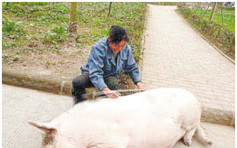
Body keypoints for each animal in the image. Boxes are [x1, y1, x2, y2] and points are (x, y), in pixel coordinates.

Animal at [29, 88, 213, 147]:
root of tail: (195, 98)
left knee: (193, 128)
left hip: (190, 116)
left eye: (50, 143)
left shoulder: (113, 142)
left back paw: (191, 143)